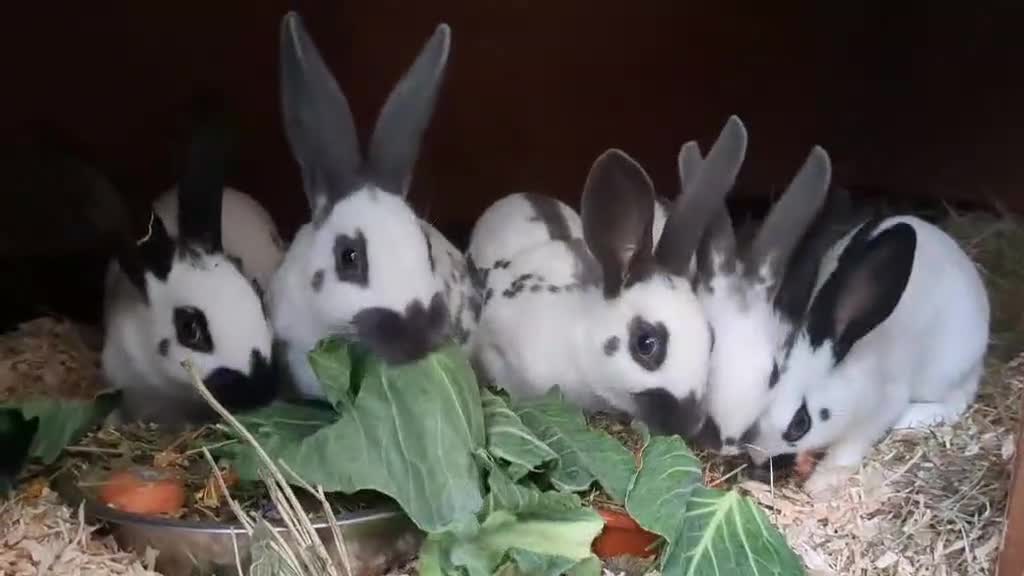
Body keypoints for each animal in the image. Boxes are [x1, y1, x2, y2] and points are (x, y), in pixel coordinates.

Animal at [746, 214, 990, 496]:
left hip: (945, 371)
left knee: (956, 400)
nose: (759, 461)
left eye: (800, 423)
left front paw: (821, 483)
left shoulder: (880, 409)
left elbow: (849, 447)